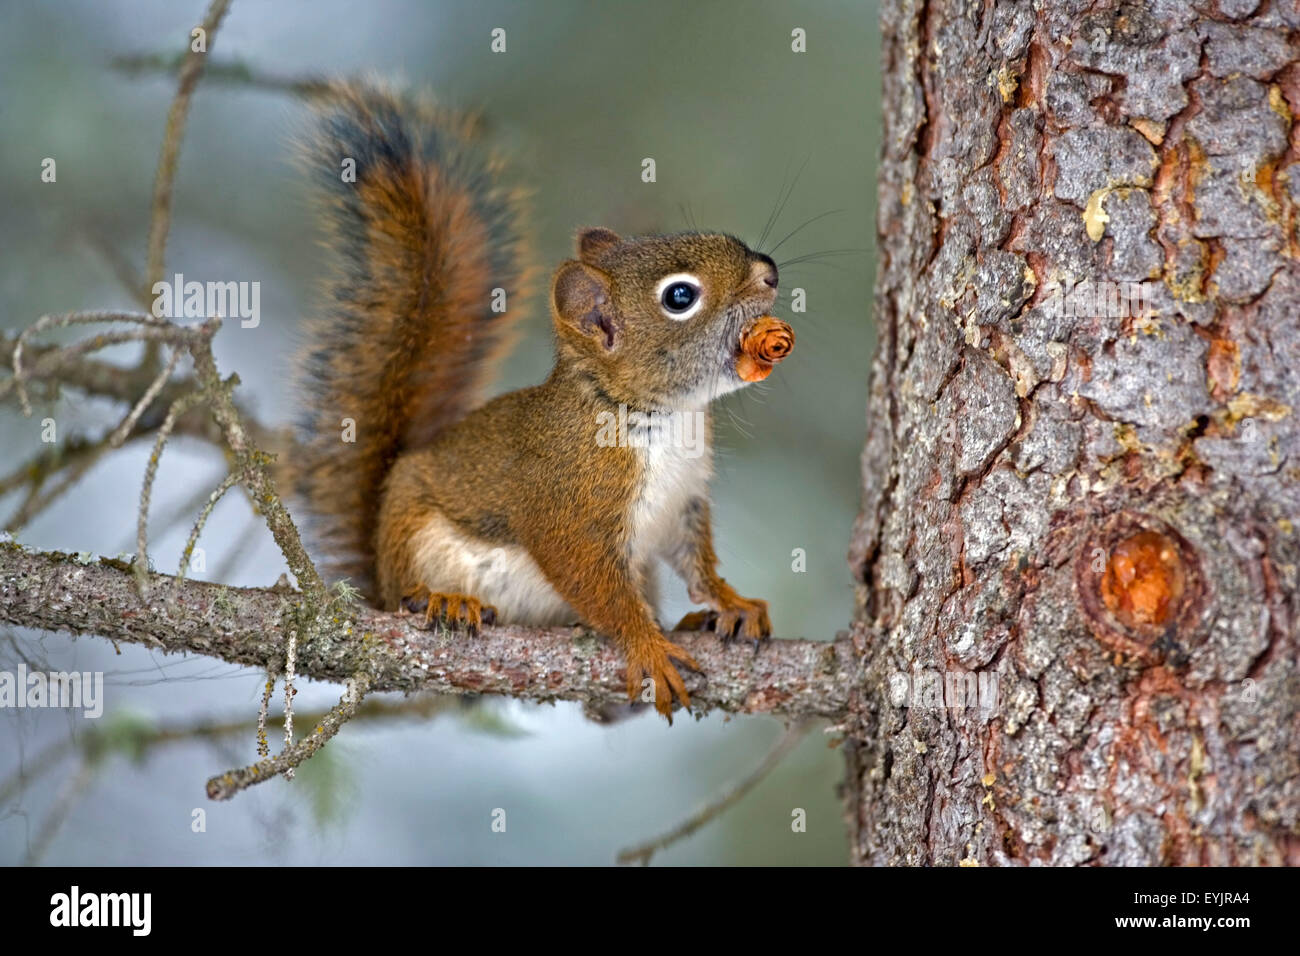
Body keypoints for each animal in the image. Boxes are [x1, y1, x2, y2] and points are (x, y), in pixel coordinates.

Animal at [292, 81, 787, 720]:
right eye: (680, 297)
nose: (770, 272)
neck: (662, 415)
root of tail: (374, 579)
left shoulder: (684, 502)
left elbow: (696, 562)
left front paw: (730, 602)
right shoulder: (567, 506)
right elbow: (593, 583)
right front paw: (647, 645)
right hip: (411, 539)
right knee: (406, 592)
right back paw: (442, 600)